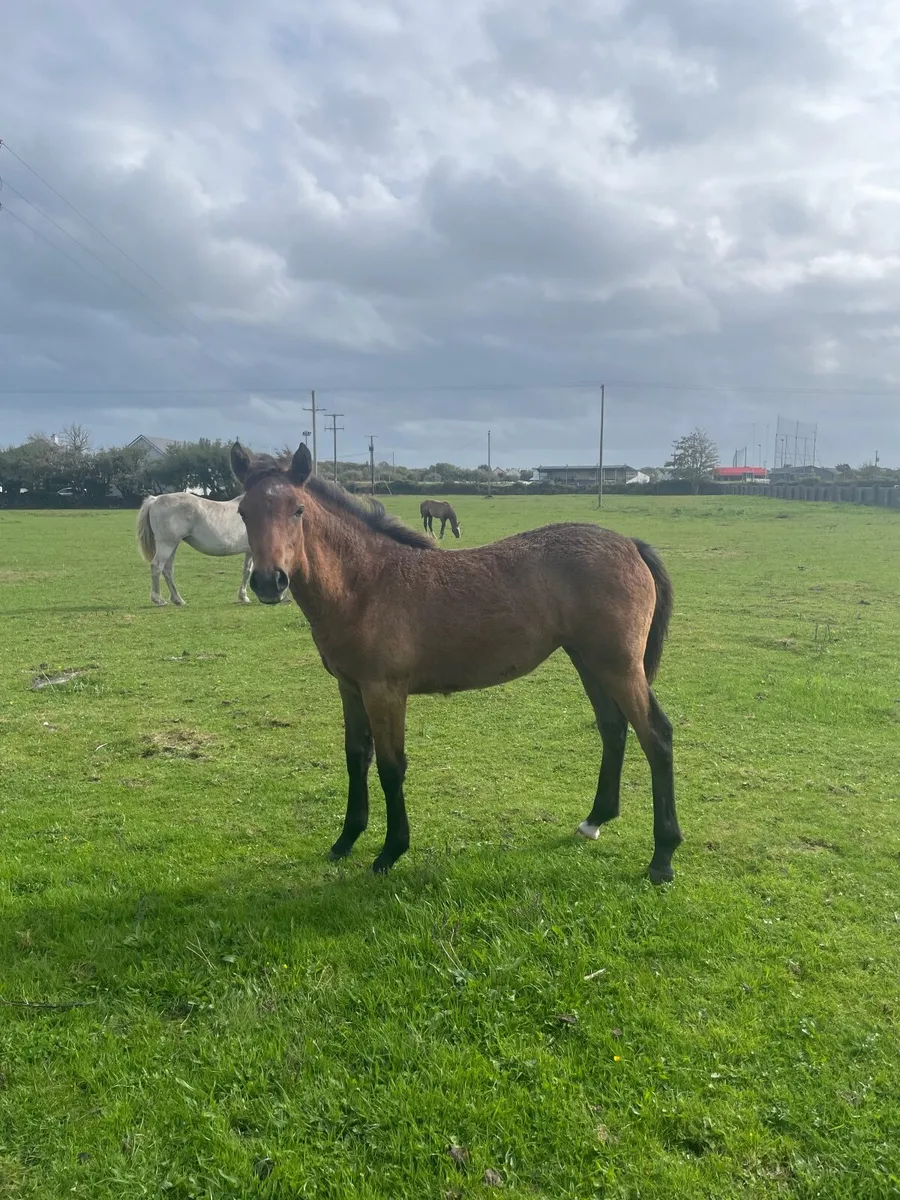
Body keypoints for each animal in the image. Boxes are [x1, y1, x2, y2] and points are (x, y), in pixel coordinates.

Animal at [230, 440, 682, 883]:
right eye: (243, 511)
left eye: (298, 510)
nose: (269, 582)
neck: (365, 584)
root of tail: (631, 544)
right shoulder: (350, 687)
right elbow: (356, 757)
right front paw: (345, 840)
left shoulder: (385, 691)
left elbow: (391, 766)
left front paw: (390, 851)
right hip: (589, 661)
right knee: (613, 728)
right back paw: (594, 821)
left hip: (619, 666)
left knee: (656, 736)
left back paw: (662, 857)